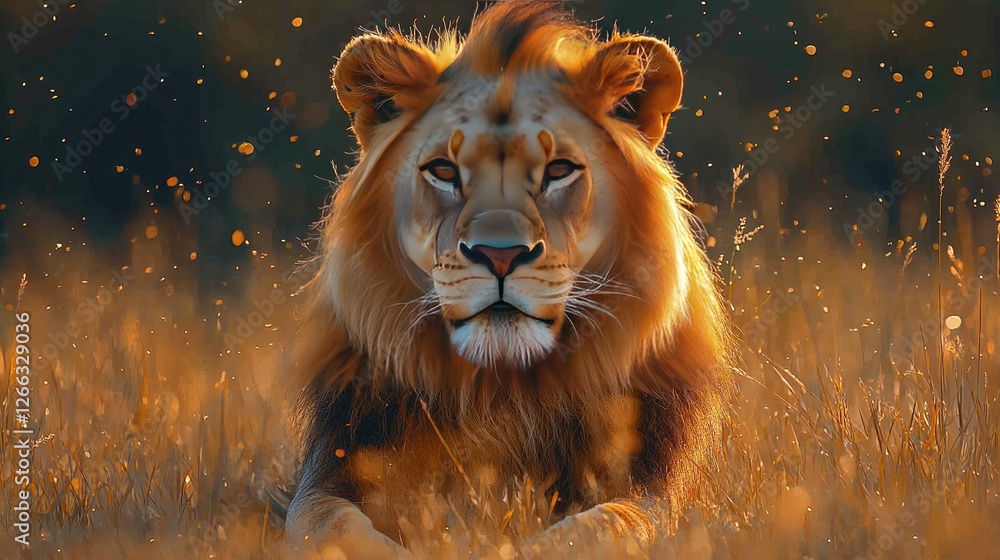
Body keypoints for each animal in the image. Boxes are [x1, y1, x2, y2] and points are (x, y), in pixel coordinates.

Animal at [284, 2, 733, 558]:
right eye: (444, 171)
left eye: (559, 170)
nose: (500, 254)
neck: (501, 393)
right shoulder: (325, 474)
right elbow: (330, 524)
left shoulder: (659, 491)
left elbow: (604, 524)